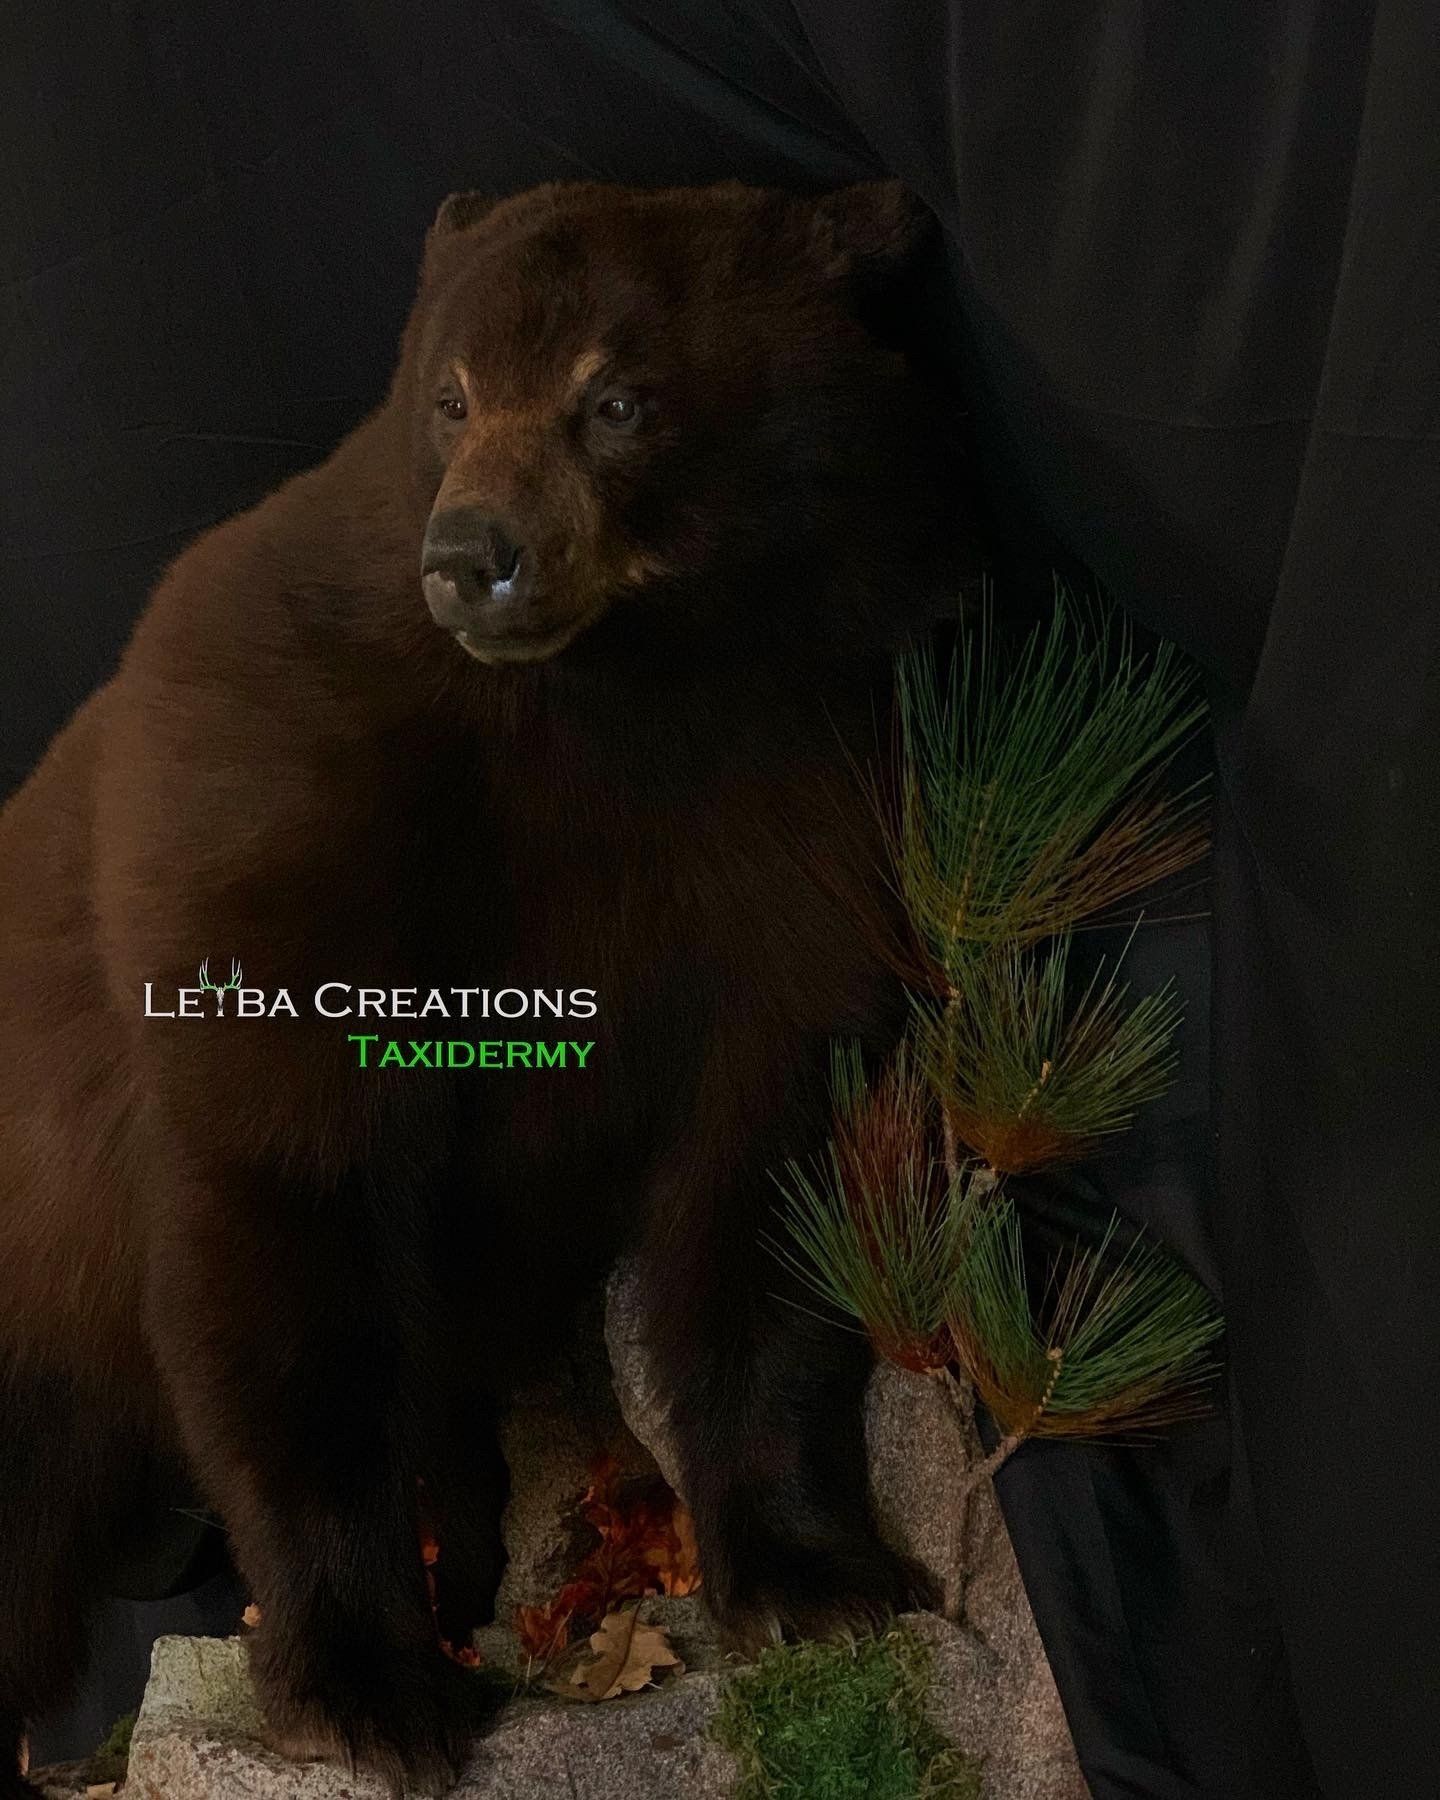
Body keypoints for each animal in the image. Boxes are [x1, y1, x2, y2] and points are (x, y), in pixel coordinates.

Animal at [0, 179, 974, 1795]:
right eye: (448, 393)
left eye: (618, 399)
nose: (470, 553)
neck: (604, 707)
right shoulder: (285, 803)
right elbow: (285, 1213)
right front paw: (368, 1685)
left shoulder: (799, 808)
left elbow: (769, 1176)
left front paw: (815, 1572)